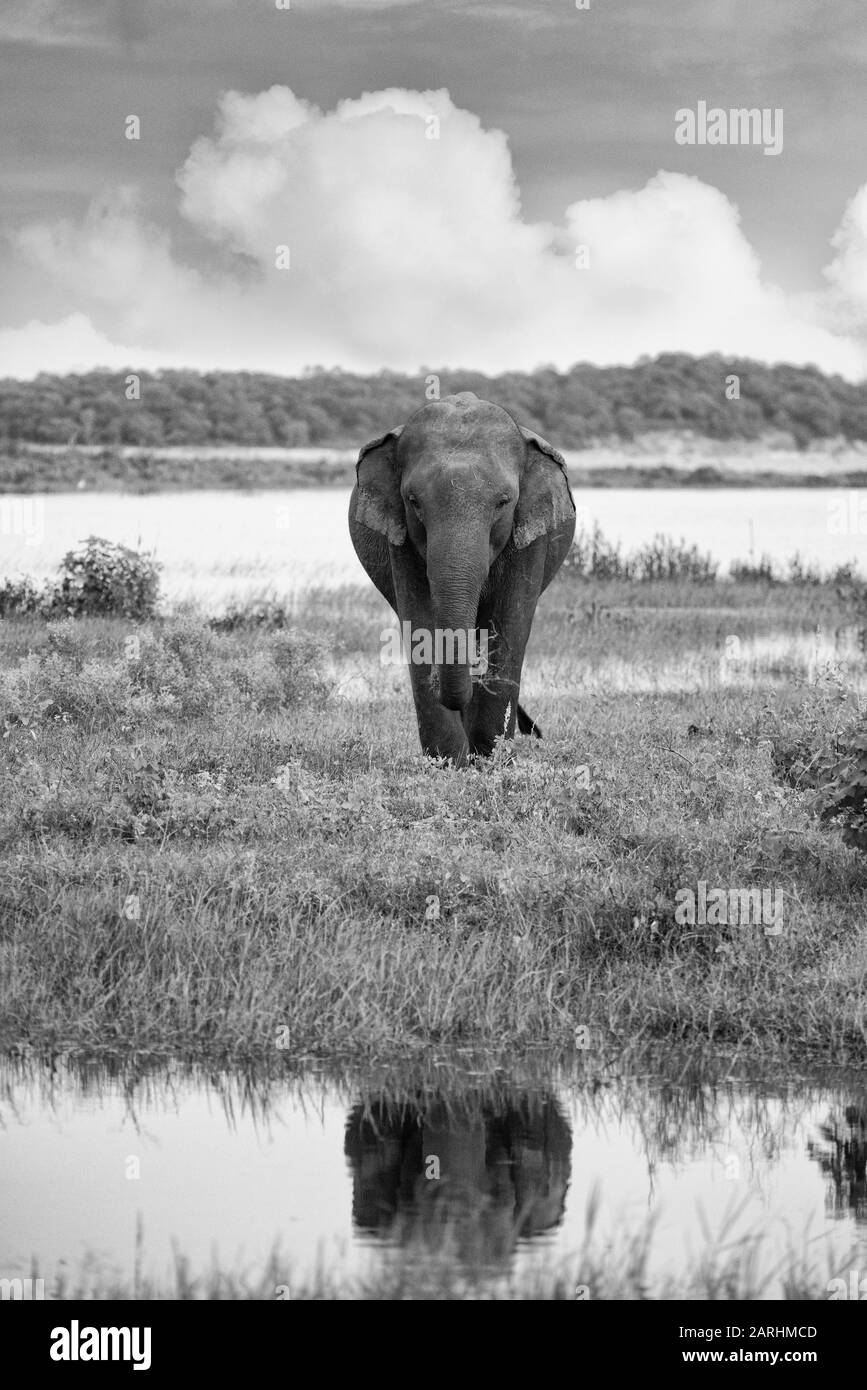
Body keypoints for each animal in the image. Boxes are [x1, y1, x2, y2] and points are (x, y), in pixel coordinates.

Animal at [345, 389, 575, 761]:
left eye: (504, 501)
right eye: (413, 501)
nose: (536, 731)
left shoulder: (529, 535)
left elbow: (510, 626)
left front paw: (492, 758)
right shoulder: (400, 538)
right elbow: (419, 624)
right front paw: (449, 762)